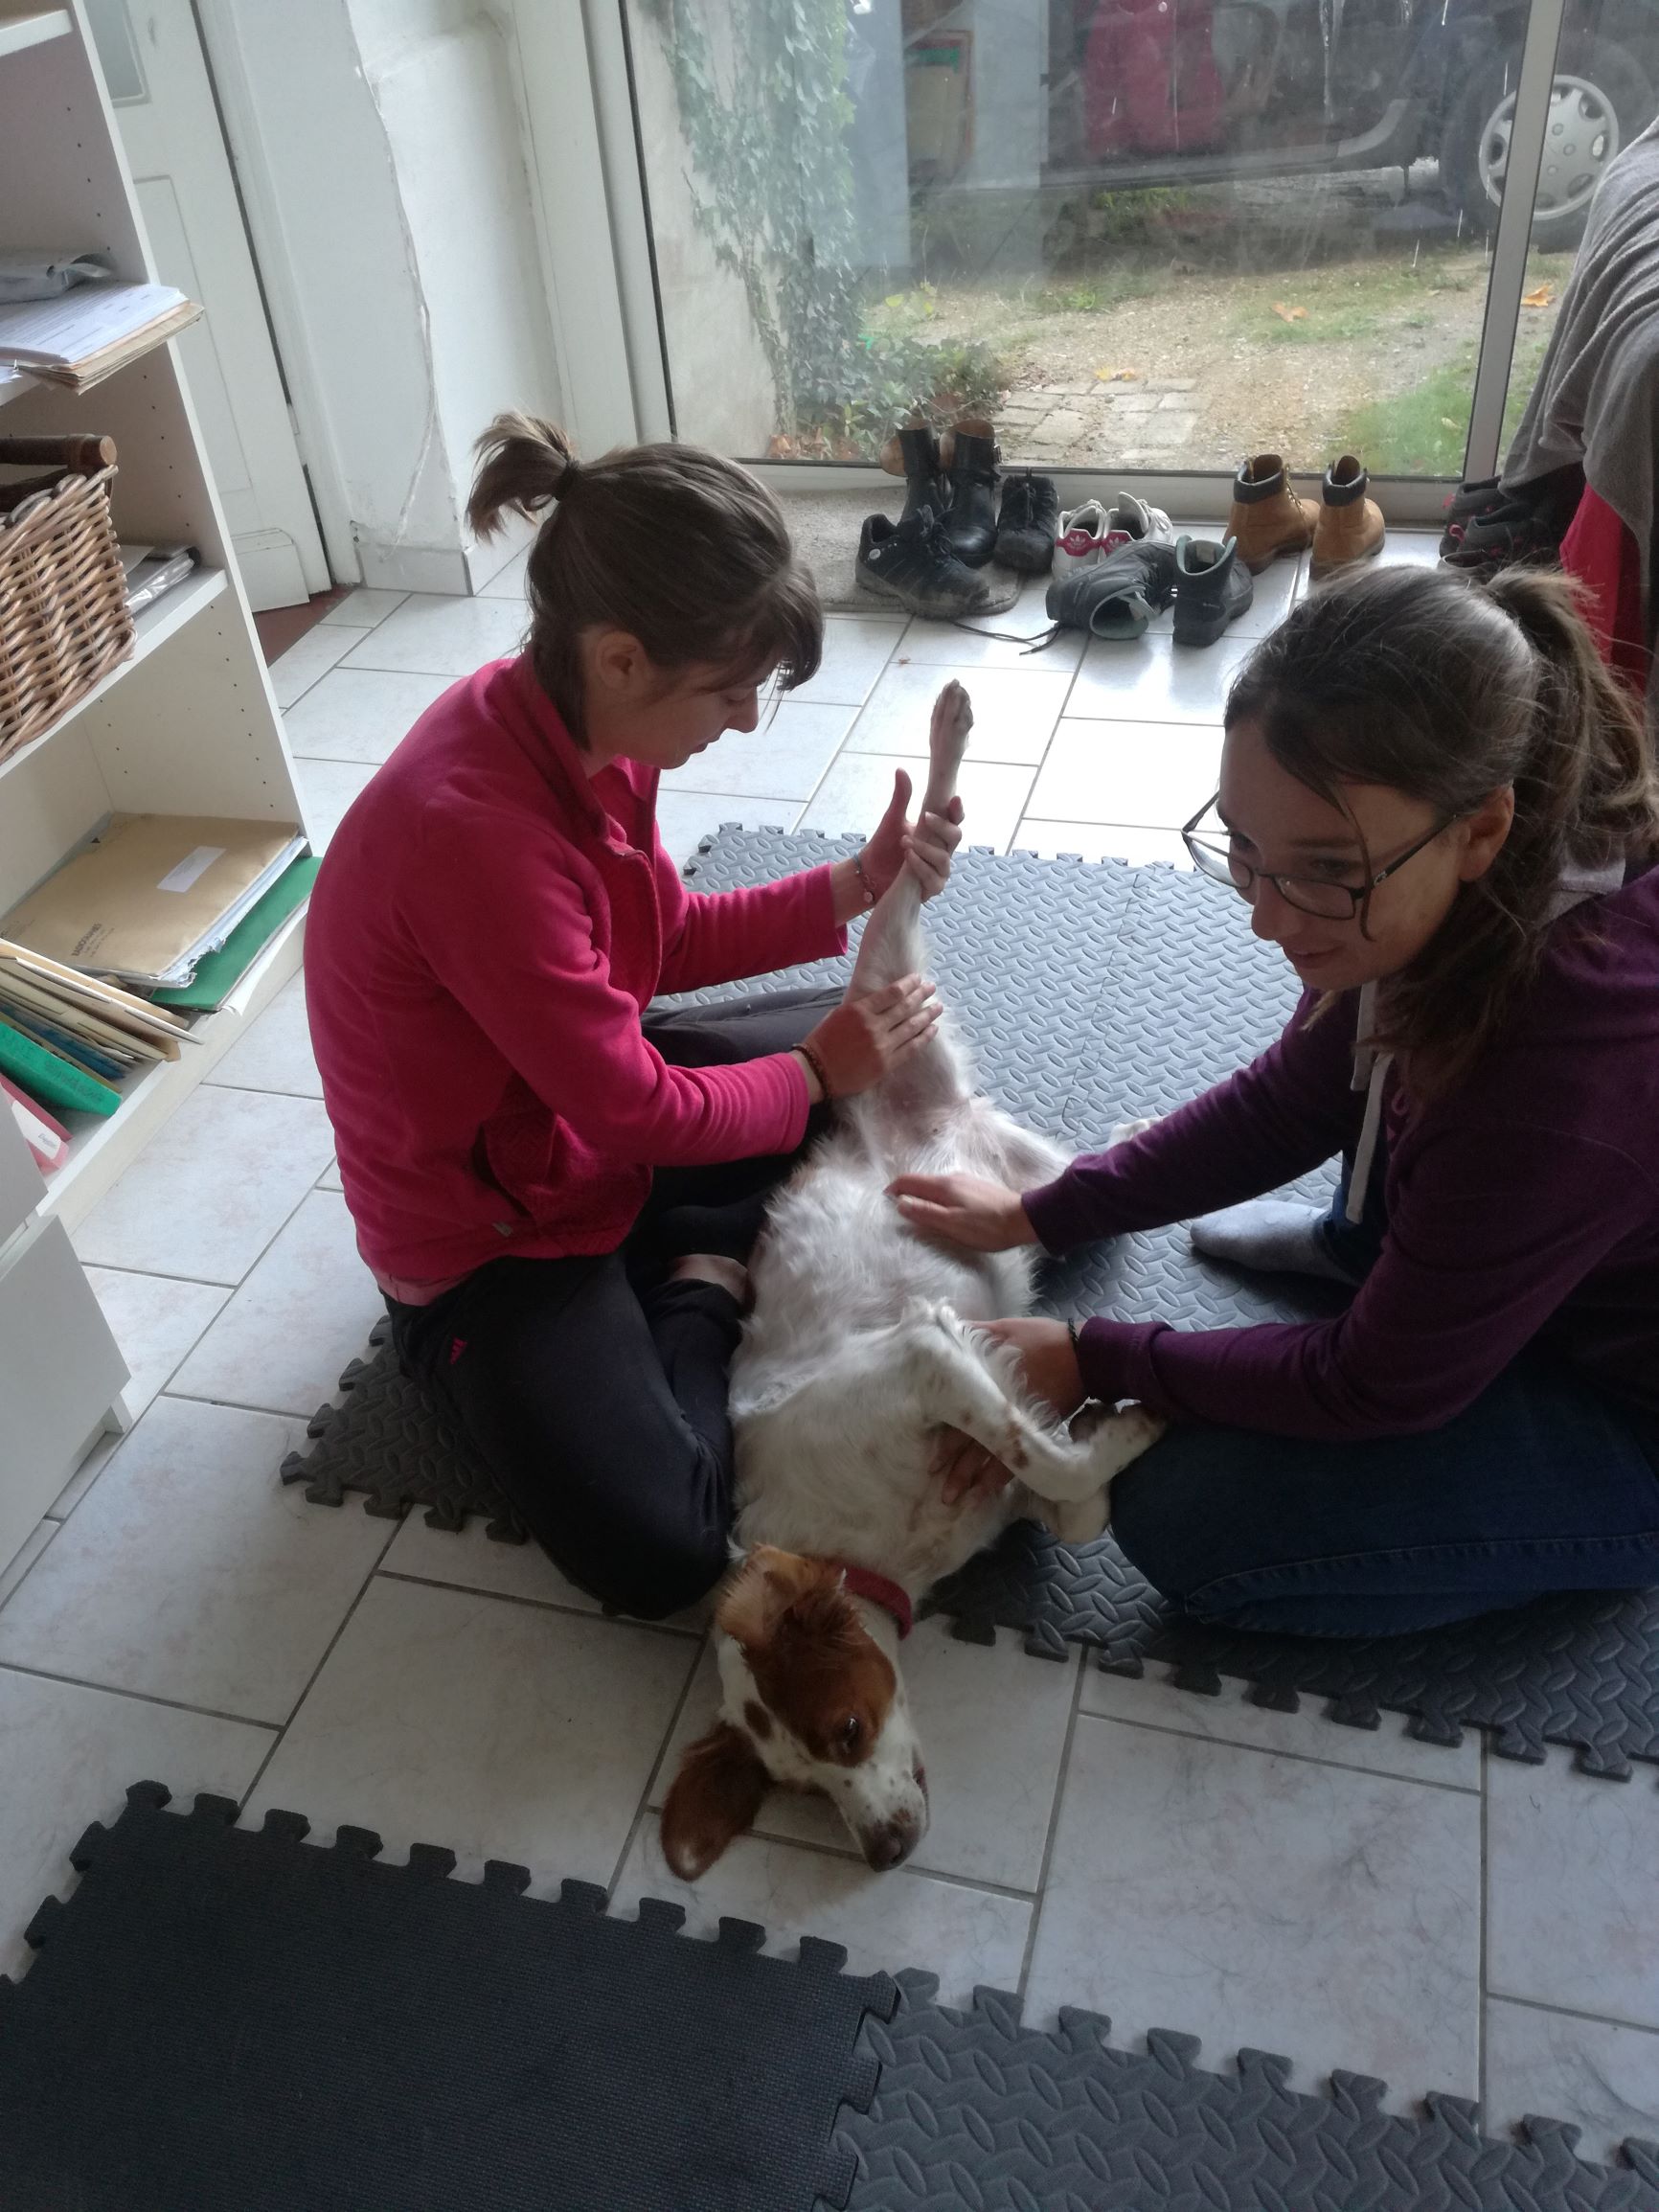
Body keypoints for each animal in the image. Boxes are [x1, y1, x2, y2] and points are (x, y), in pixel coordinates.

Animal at [654, 681, 1159, 1876]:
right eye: (798, 1786)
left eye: (846, 1725)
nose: (881, 1850)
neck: (859, 1543)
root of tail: (901, 1117)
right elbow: (1066, 1495)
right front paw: (1104, 1433)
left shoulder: (923, 1353)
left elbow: (1048, 1461)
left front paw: (1115, 1430)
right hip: (1030, 1181)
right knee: (1088, 1178)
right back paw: (1134, 1135)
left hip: (882, 981)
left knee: (907, 877)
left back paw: (947, 730)